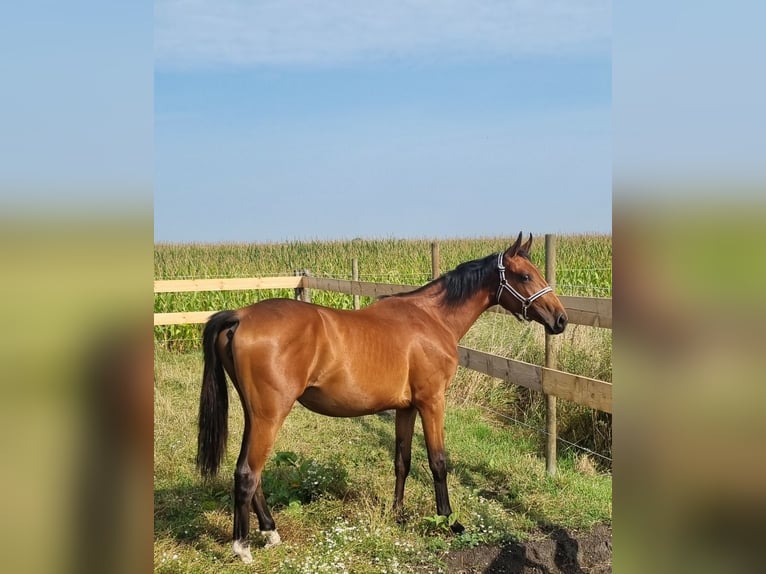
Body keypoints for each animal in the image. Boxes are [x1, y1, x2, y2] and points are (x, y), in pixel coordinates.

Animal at [198, 232, 568, 564]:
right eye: (524, 275)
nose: (560, 319)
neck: (432, 319)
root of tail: (241, 315)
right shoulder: (432, 402)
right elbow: (438, 461)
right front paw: (449, 520)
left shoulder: (406, 408)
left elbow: (402, 460)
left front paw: (398, 513)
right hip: (270, 415)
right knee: (248, 473)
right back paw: (243, 547)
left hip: (255, 414)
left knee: (252, 472)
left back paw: (270, 531)